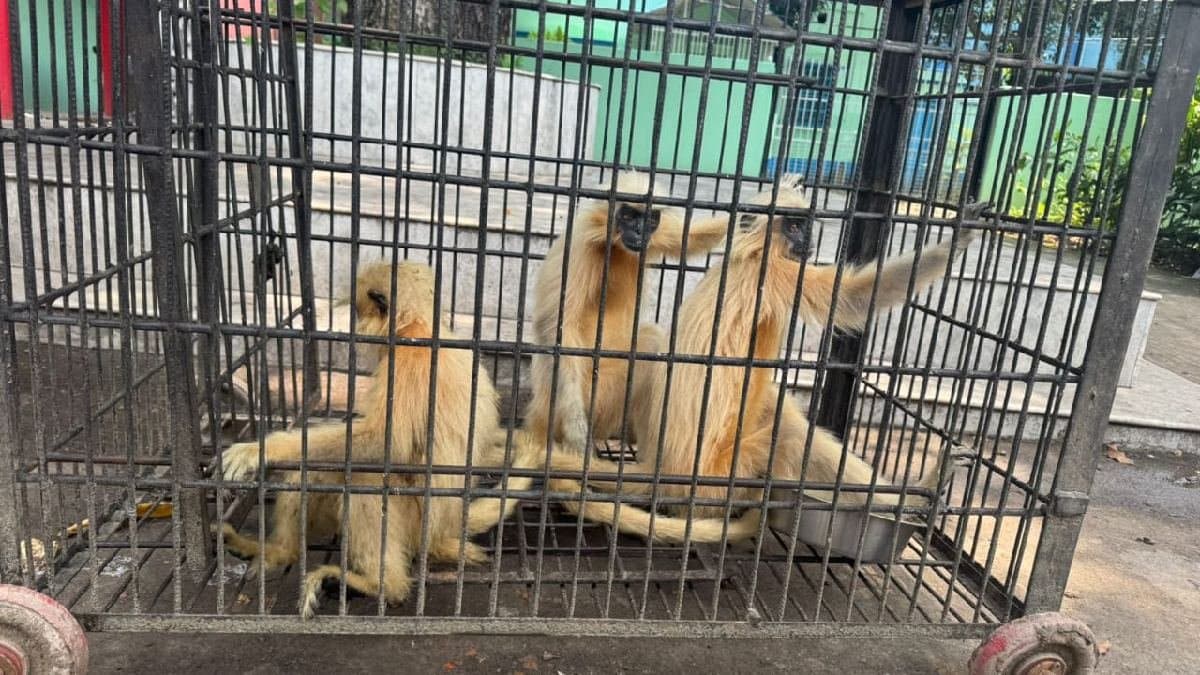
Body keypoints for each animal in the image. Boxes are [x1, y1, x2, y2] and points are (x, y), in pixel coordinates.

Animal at [216, 261, 541, 618]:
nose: (356, 323)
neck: (422, 328)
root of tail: (448, 528)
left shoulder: (409, 362)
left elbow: (383, 444)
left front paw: (260, 450)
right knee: (317, 470)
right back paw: (281, 552)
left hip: (416, 521)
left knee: (363, 477)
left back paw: (382, 586)